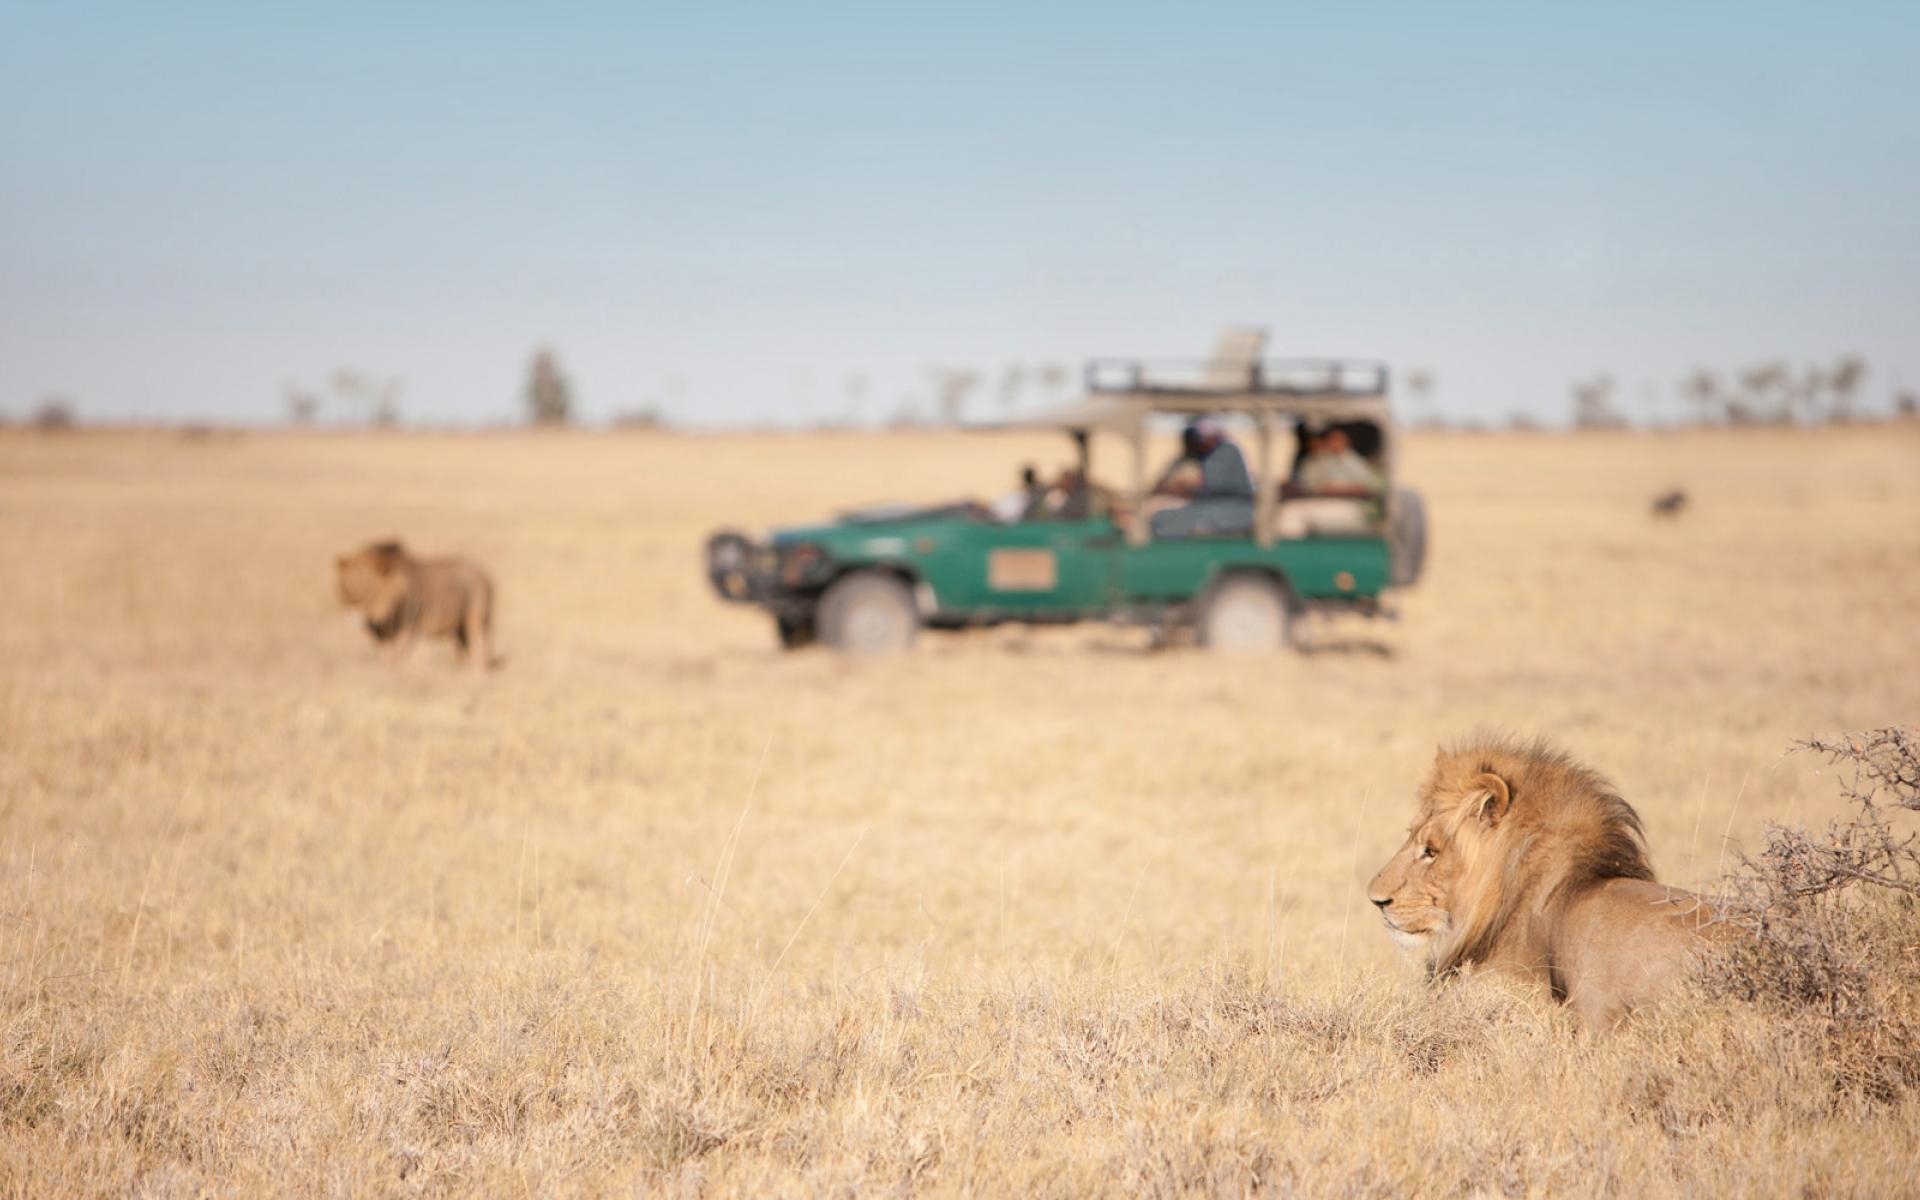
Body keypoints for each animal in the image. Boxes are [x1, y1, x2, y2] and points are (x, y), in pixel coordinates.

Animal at [336, 537, 495, 668]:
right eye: (346, 587)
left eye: (371, 590)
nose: (355, 610)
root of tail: (485, 573)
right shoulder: (380, 634)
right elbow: (386, 656)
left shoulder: (408, 625)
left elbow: (401, 655)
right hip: (459, 629)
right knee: (464, 650)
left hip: (476, 618)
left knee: (479, 646)